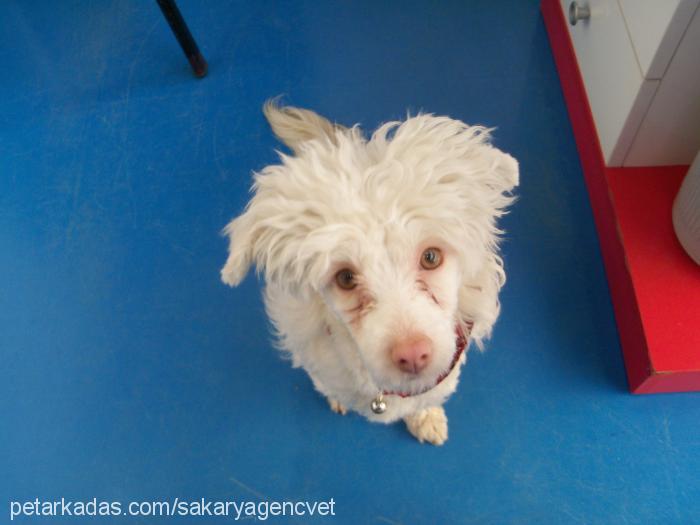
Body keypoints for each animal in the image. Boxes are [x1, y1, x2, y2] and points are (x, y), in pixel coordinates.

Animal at [221, 101, 516, 442]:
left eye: (431, 257)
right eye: (345, 278)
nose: (412, 355)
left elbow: (427, 396)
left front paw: (425, 416)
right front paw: (337, 398)